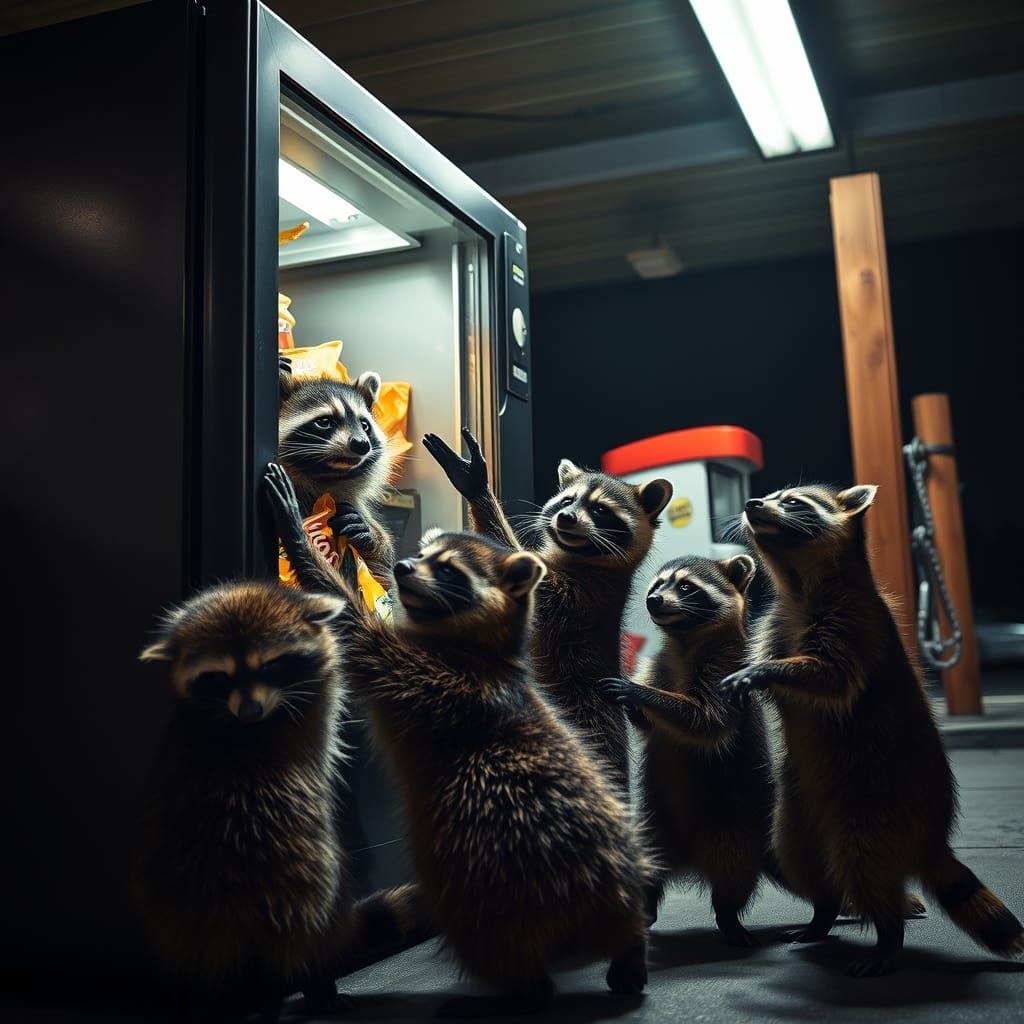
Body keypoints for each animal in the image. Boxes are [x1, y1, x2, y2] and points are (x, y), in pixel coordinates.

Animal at [278, 358, 395, 581]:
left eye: (364, 424)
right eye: (324, 421)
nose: (361, 444)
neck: (326, 475)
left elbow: (384, 569)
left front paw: (372, 537)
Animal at [423, 428, 671, 797]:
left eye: (600, 510)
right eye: (567, 501)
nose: (566, 518)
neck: (584, 559)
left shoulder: (574, 599)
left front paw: (479, 489)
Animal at [598, 554, 774, 946]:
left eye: (685, 586)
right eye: (656, 584)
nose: (653, 600)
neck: (685, 640)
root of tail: (691, 858)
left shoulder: (728, 669)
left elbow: (705, 721)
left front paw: (638, 693)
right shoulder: (659, 663)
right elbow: (651, 727)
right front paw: (636, 707)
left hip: (734, 828)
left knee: (735, 875)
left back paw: (728, 916)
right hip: (653, 827)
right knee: (648, 869)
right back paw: (646, 908)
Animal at [724, 483, 1024, 976]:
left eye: (793, 502)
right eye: (769, 495)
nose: (752, 505)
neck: (798, 581)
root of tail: (930, 839)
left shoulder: (855, 622)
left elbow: (832, 676)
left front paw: (767, 673)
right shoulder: (776, 623)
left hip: (875, 806)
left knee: (864, 864)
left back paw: (888, 934)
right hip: (798, 810)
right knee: (800, 856)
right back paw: (823, 914)